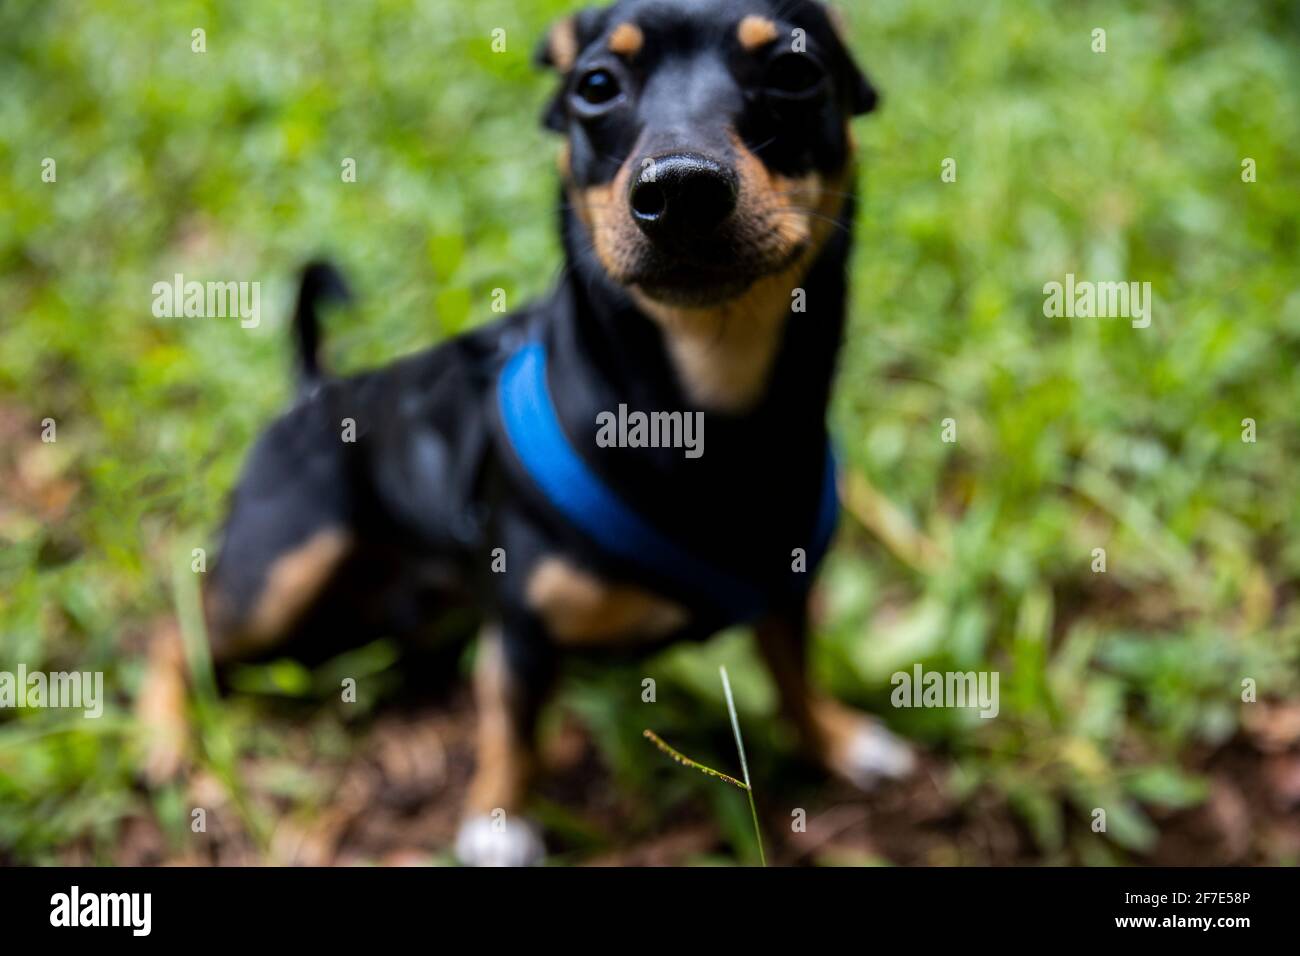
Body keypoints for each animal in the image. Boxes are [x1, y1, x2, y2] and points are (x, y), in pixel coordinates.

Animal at [139, 0, 915, 868]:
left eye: (795, 71)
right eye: (596, 86)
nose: (680, 188)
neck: (699, 417)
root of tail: (314, 389)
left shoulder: (785, 590)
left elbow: (794, 676)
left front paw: (837, 740)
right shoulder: (520, 633)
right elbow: (514, 733)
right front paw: (499, 821)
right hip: (275, 582)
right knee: (173, 636)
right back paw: (164, 740)